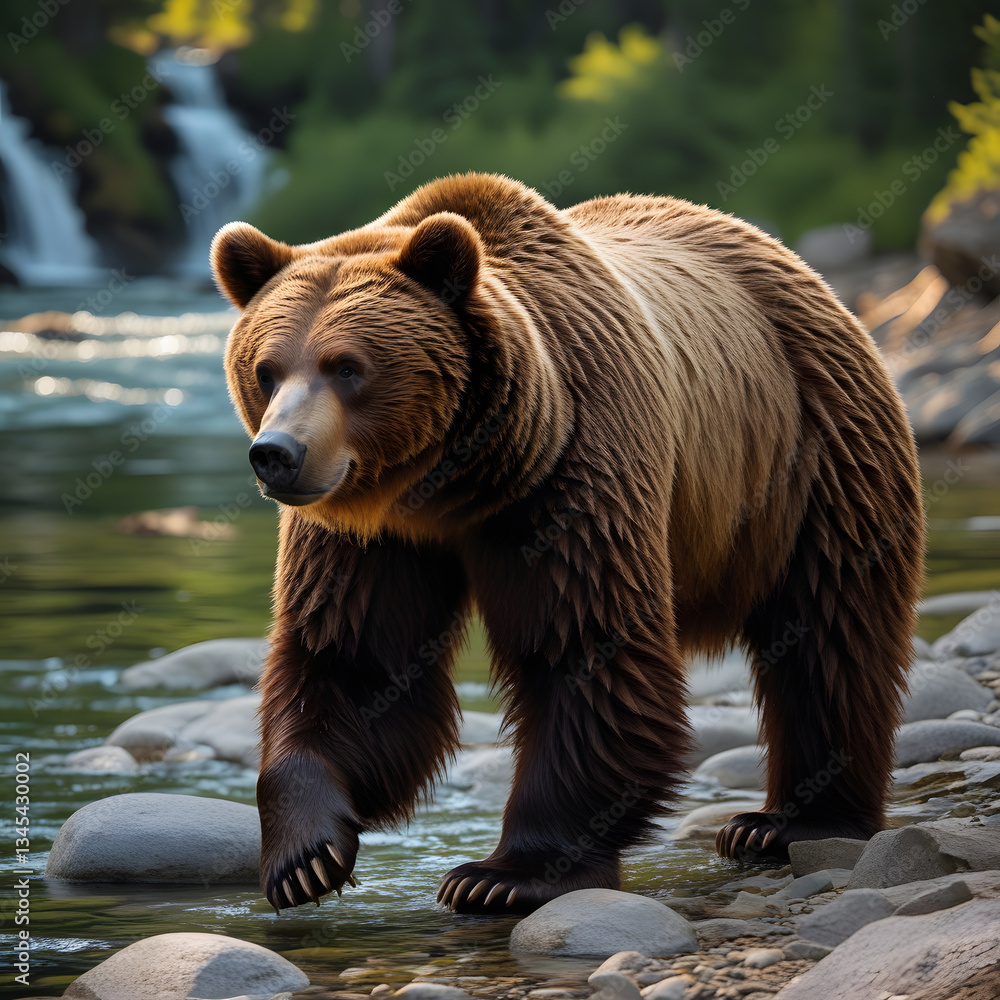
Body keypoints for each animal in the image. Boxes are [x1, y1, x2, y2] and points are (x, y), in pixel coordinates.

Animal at [210, 172, 924, 916]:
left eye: (347, 367)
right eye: (266, 369)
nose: (277, 453)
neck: (455, 483)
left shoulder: (568, 474)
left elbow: (581, 647)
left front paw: (502, 874)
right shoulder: (369, 534)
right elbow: (358, 662)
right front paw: (305, 857)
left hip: (812, 457)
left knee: (828, 631)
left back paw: (789, 824)